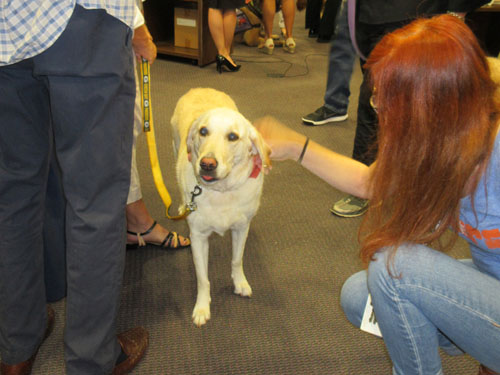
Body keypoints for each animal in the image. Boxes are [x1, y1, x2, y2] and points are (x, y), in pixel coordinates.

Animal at [170, 87, 270, 326]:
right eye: (203, 131)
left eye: (232, 136)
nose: (207, 164)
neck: (221, 191)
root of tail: (200, 88)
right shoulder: (198, 237)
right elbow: (203, 278)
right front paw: (202, 307)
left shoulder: (241, 228)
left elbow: (236, 259)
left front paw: (240, 283)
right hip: (175, 145)